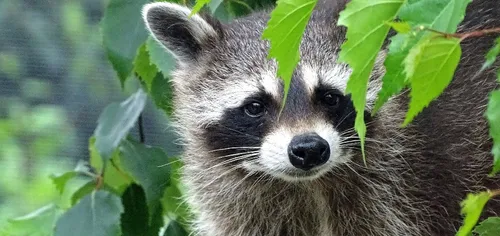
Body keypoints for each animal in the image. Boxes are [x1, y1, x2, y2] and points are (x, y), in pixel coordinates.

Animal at [141, 0, 500, 235]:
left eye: (329, 96)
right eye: (255, 105)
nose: (309, 149)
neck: (309, 186)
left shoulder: (422, 180)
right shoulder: (238, 204)